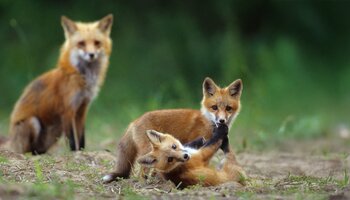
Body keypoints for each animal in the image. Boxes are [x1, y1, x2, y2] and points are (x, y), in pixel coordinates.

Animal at [0, 14, 113, 155]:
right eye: (81, 43)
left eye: (97, 43)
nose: (91, 55)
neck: (82, 78)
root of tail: (11, 140)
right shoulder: (68, 110)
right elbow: (72, 139)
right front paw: (75, 154)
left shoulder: (82, 108)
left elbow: (81, 137)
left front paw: (82, 152)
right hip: (34, 122)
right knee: (27, 150)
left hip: (56, 130)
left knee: (39, 149)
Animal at [102, 77, 242, 184]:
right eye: (214, 107)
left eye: (228, 108)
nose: (222, 121)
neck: (208, 122)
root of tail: (134, 121)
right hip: (148, 150)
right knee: (142, 171)